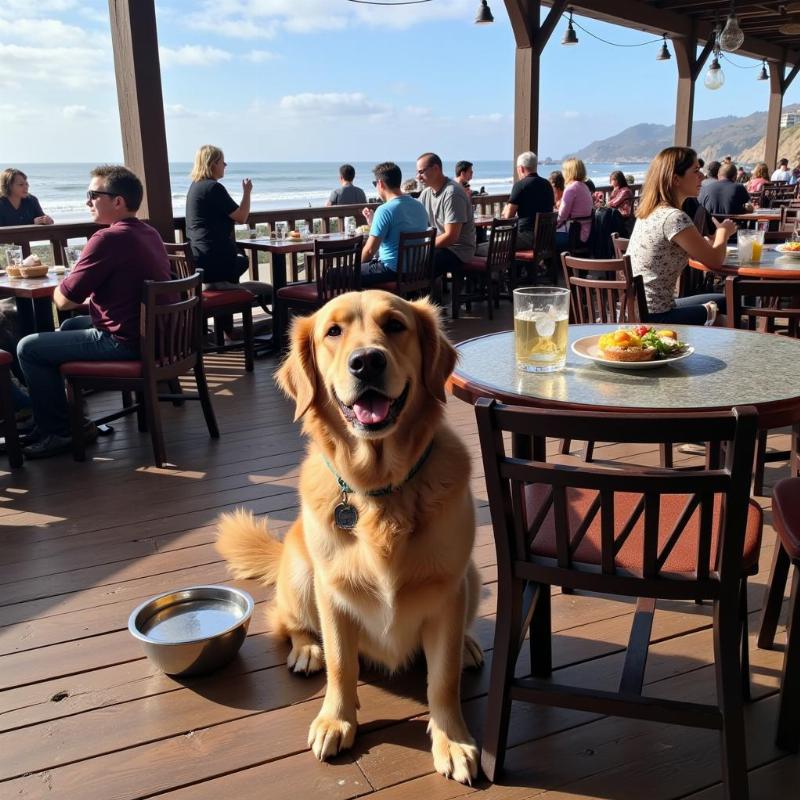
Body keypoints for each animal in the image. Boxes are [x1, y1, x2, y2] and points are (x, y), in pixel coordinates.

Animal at [212, 290, 484, 784]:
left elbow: (444, 677)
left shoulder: (448, 589)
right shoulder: (333, 592)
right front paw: (336, 721)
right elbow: (341, 664)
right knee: (287, 622)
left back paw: (470, 644)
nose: (367, 362)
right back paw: (305, 651)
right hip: (302, 575)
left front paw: (451, 738)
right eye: (333, 332)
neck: (380, 489)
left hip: (471, 575)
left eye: (395, 325)